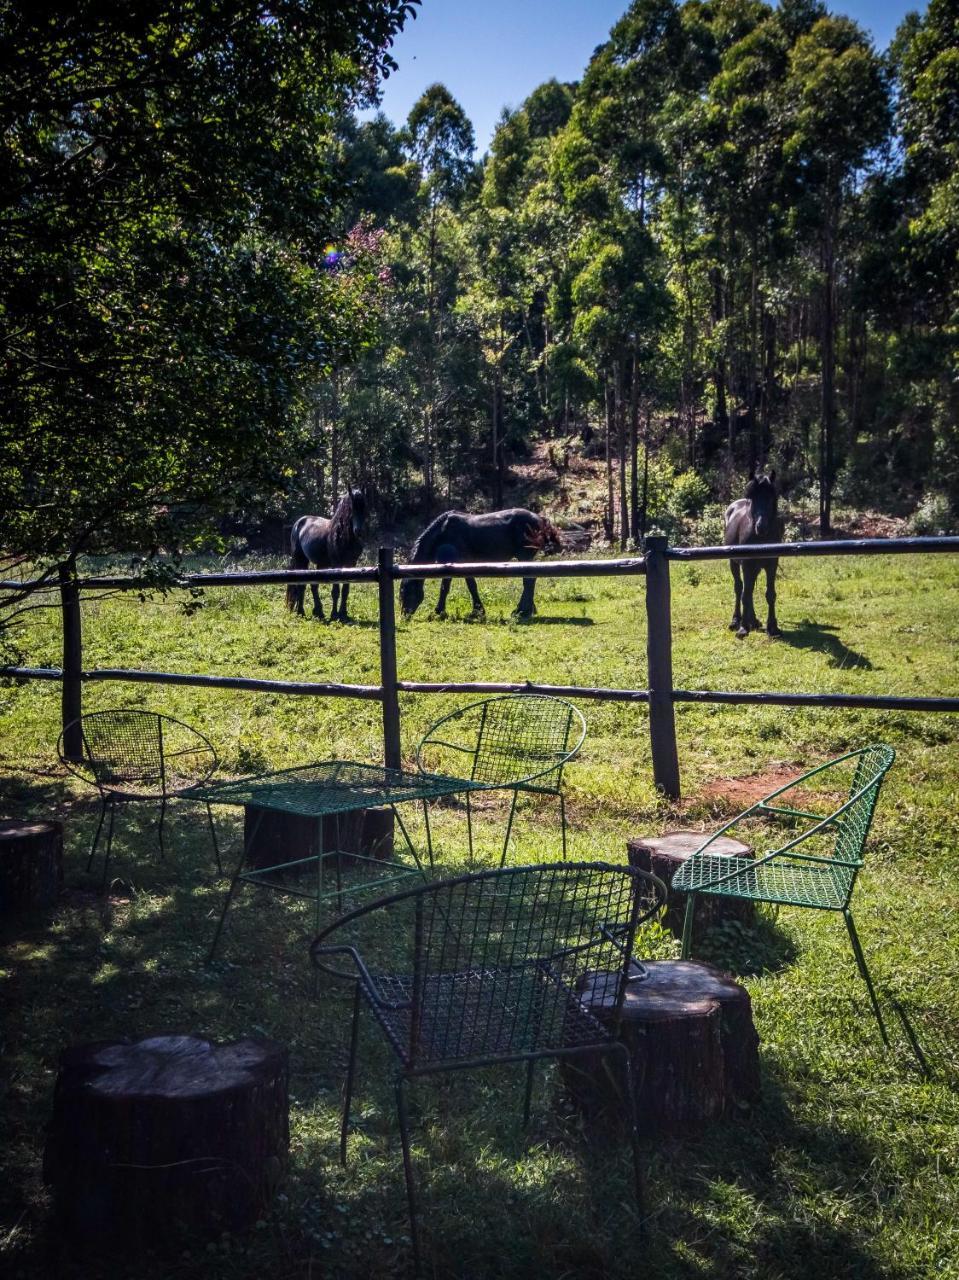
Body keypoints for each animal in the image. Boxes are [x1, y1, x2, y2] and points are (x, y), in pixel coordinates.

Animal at [284, 486, 366, 622]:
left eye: (364, 505)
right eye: (351, 507)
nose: (358, 531)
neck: (342, 536)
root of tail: (299, 522)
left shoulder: (351, 564)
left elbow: (345, 590)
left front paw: (344, 614)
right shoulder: (336, 565)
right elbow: (335, 591)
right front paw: (334, 615)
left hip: (321, 564)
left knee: (314, 586)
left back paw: (318, 612)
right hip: (301, 560)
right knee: (302, 585)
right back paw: (301, 612)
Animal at [727, 471, 778, 640]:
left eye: (771, 497)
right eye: (753, 498)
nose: (761, 527)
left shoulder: (772, 565)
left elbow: (770, 594)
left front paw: (773, 627)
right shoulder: (747, 564)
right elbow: (744, 594)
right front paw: (743, 628)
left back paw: (753, 620)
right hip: (735, 563)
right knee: (740, 588)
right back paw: (737, 620)